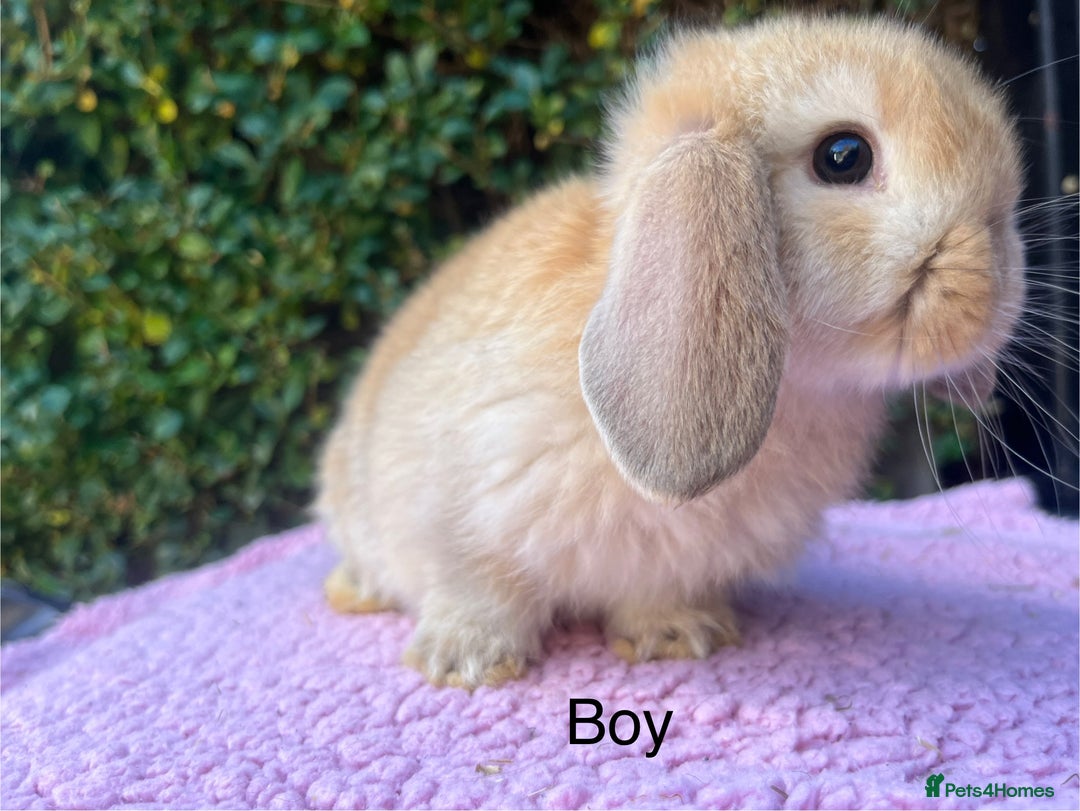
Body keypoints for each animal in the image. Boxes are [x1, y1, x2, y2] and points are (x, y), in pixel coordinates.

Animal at [315, 14, 1026, 689]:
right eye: (843, 156)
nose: (989, 296)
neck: (795, 389)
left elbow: (654, 596)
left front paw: (678, 638)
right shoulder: (455, 517)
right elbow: (478, 590)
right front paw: (466, 662)